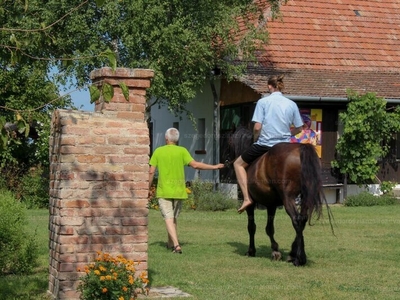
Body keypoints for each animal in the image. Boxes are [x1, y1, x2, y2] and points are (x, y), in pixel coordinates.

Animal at [230, 125, 330, 266]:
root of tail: (300, 149)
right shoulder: (271, 205)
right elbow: (269, 228)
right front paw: (275, 251)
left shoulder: (251, 204)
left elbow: (252, 227)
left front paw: (252, 251)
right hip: (304, 197)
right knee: (302, 219)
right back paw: (294, 254)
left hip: (288, 197)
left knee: (296, 219)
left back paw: (298, 258)